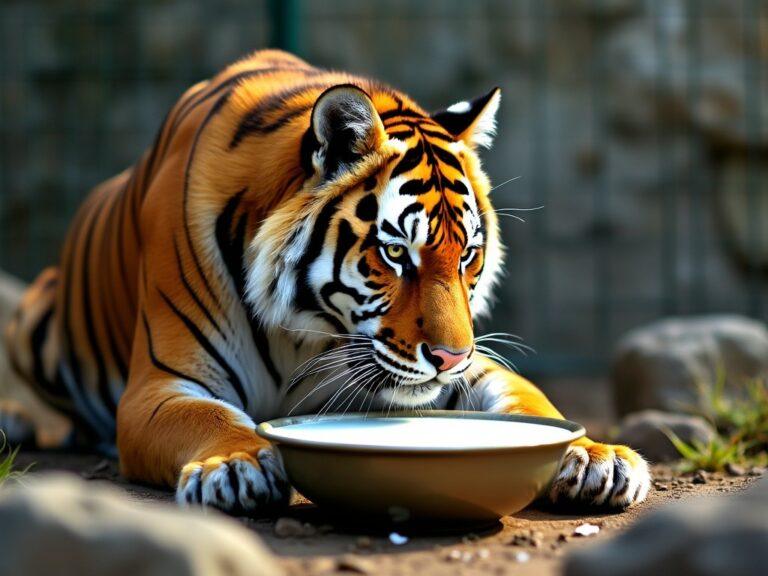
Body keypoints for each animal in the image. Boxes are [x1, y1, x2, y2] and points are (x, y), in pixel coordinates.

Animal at [4, 51, 648, 512]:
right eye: (395, 252)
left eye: (467, 255)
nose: (450, 358)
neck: (303, 329)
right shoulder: (160, 386)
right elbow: (210, 417)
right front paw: (235, 466)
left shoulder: (468, 374)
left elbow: (530, 401)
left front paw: (598, 455)